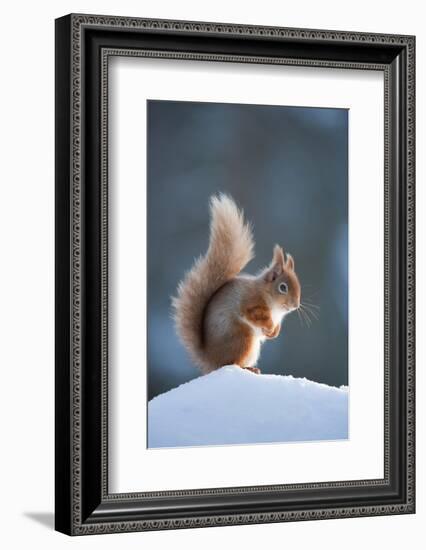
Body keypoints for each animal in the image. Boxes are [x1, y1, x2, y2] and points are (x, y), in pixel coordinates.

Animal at [171, 193, 302, 376]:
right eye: (283, 287)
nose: (295, 305)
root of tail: (210, 361)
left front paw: (274, 333)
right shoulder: (252, 303)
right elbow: (255, 315)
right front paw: (269, 327)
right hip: (242, 338)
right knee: (231, 362)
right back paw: (247, 368)